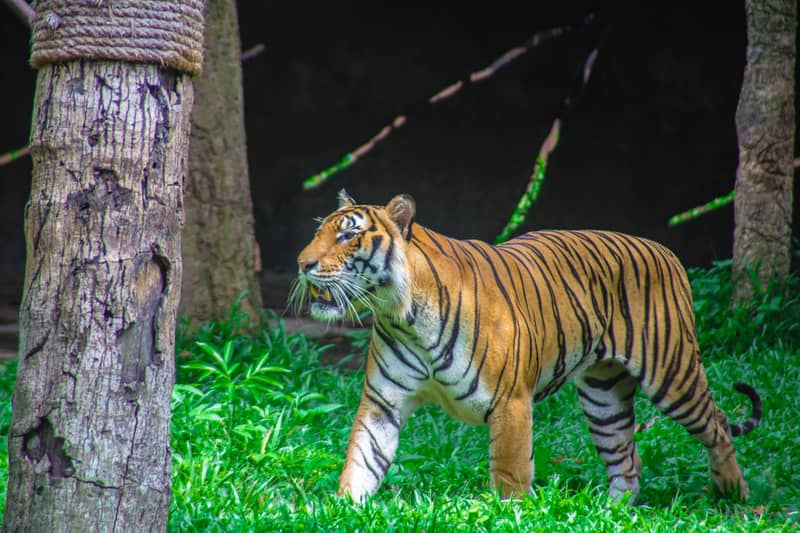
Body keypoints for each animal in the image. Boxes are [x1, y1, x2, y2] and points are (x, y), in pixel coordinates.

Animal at [290, 189, 760, 500]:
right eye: (319, 233)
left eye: (348, 236)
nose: (302, 263)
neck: (402, 316)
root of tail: (666, 250)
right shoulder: (382, 401)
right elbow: (362, 459)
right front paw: (344, 508)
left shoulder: (511, 401)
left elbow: (509, 474)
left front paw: (504, 514)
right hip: (603, 395)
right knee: (627, 457)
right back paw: (613, 510)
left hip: (672, 373)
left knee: (718, 422)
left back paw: (733, 496)